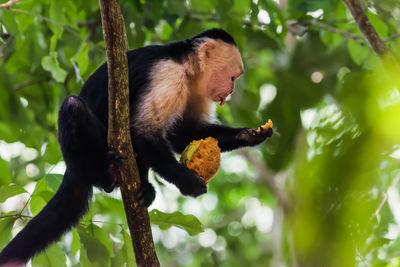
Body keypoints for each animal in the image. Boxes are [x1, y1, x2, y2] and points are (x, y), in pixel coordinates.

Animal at [0, 28, 272, 266]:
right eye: (233, 77)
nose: (231, 89)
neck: (188, 69)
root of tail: (73, 170)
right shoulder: (167, 75)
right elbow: (144, 131)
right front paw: (188, 182)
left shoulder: (196, 90)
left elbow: (183, 134)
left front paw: (250, 135)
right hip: (86, 157)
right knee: (73, 107)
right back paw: (106, 174)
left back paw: (144, 188)